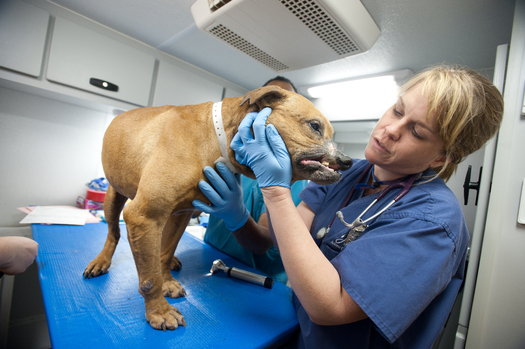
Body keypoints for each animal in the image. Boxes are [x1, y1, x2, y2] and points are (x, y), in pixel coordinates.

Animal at [82, 85, 352, 328]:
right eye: (315, 126)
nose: (348, 161)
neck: (217, 136)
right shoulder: (144, 216)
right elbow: (149, 279)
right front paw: (159, 311)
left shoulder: (181, 215)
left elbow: (164, 253)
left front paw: (166, 280)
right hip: (114, 198)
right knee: (113, 233)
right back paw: (101, 261)